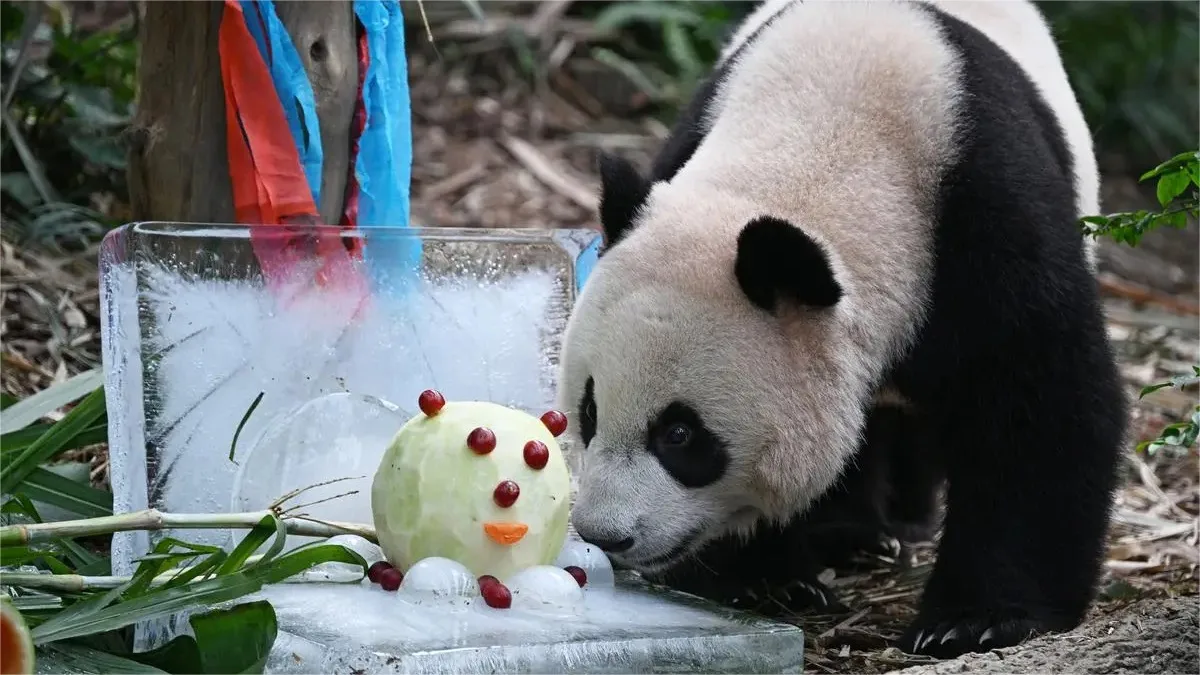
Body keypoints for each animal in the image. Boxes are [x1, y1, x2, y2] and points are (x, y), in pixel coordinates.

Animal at [556, 0, 1126, 659]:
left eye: (679, 434)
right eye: (590, 411)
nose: (606, 535)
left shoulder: (986, 214)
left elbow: (1037, 399)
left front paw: (975, 620)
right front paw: (763, 581)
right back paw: (844, 532)